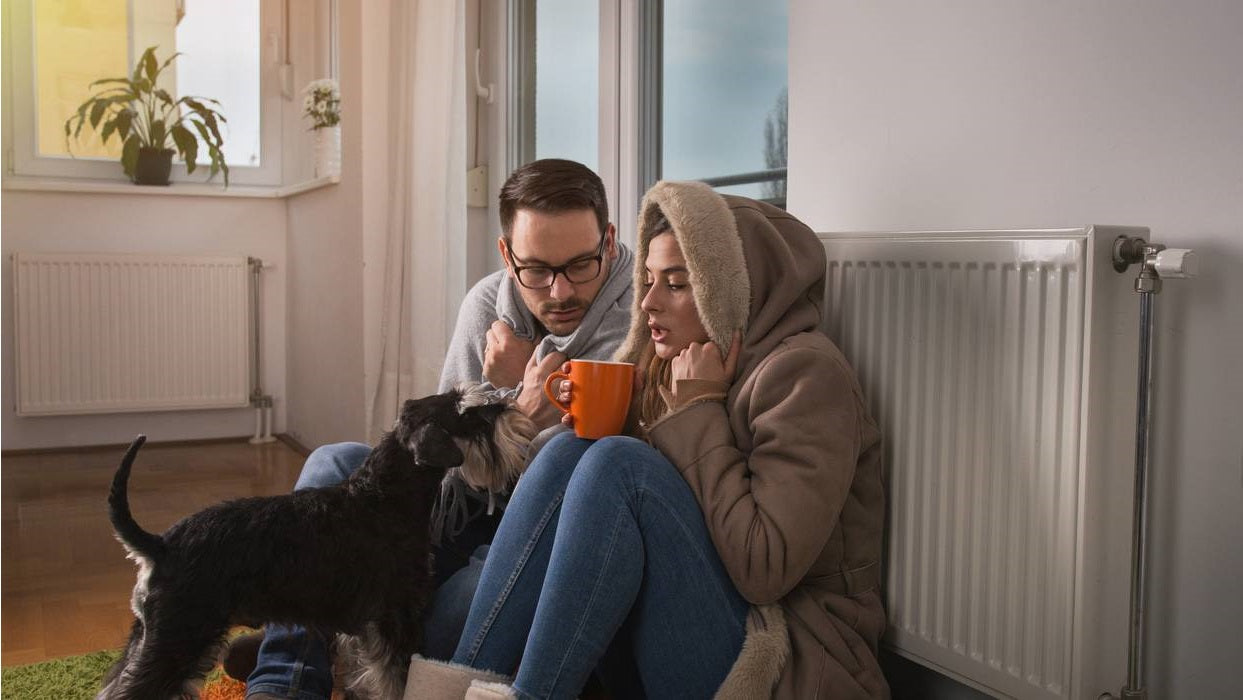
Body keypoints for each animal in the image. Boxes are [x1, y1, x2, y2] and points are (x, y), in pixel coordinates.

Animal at [99, 387, 536, 700]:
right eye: (466, 411)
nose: (510, 406)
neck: (384, 495)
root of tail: (160, 545)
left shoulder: (365, 630)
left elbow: (371, 680)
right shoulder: (396, 618)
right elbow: (397, 680)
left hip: (150, 635)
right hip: (179, 638)